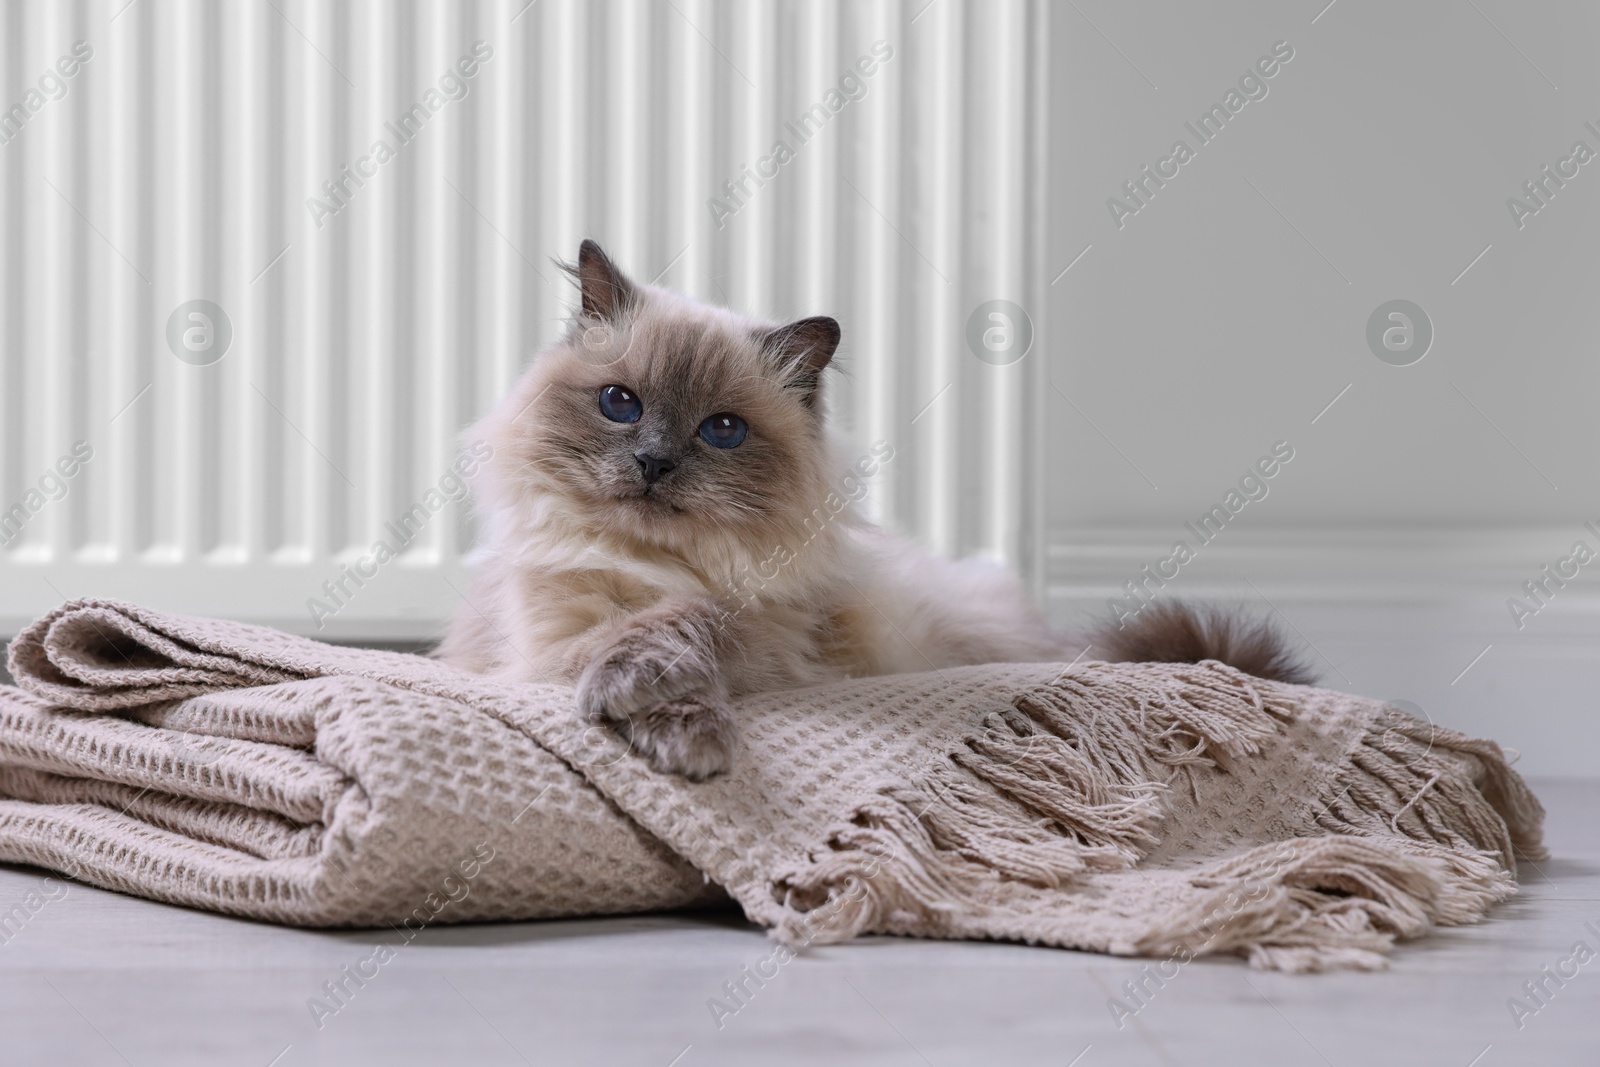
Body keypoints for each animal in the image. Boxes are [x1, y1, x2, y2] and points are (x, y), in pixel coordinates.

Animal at [438, 239, 1312, 777]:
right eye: (620, 404)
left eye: (722, 430)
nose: (653, 464)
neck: (667, 564)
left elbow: (691, 623)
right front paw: (674, 726)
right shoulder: (547, 645)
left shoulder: (762, 634)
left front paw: (683, 730)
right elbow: (638, 633)